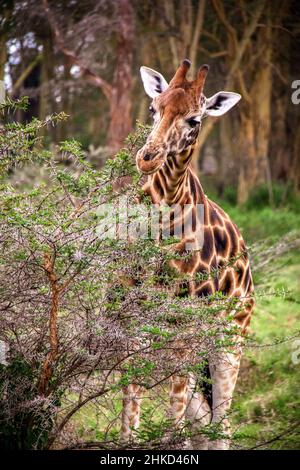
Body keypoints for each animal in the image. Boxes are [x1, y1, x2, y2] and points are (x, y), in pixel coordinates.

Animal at [120, 60, 254, 450]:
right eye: (154, 108)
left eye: (194, 119)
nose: (147, 159)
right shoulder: (130, 320)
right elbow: (131, 403)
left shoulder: (182, 330)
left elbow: (172, 413)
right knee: (203, 421)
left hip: (229, 339)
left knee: (221, 424)